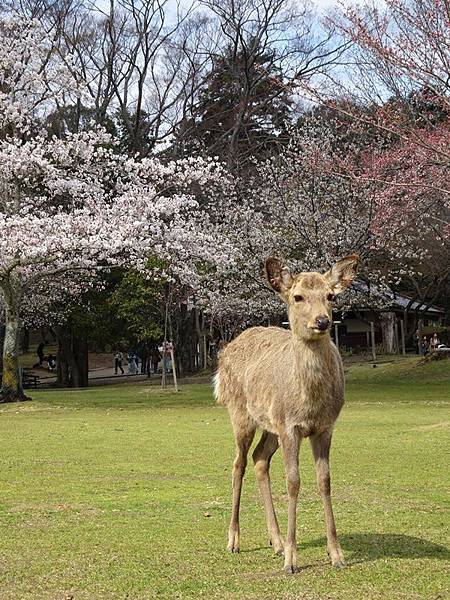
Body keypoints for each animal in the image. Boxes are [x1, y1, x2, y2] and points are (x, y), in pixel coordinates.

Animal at [214, 253, 358, 572]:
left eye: (330, 296)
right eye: (298, 296)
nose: (322, 321)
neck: (308, 402)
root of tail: (223, 353)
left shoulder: (324, 427)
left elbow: (324, 481)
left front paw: (337, 555)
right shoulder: (291, 427)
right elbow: (293, 482)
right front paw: (293, 560)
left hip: (271, 425)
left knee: (259, 459)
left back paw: (276, 541)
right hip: (240, 413)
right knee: (238, 463)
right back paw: (234, 540)